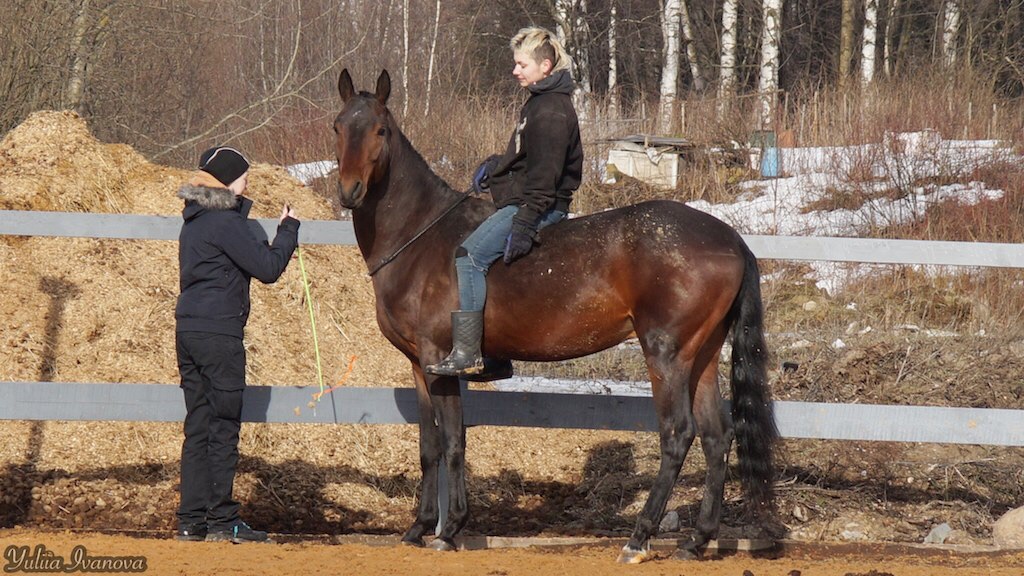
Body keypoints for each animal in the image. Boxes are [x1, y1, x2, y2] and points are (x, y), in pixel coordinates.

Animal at [332, 69, 778, 563]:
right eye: (338, 127)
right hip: (702, 354)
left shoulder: (440, 360)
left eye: (380, 131)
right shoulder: (417, 363)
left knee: (678, 434)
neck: (421, 236)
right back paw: (697, 540)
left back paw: (639, 536)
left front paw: (451, 529)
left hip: (667, 354)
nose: (349, 192)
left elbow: (452, 441)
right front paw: (419, 527)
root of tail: (730, 238)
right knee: (718, 436)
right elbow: (428, 445)